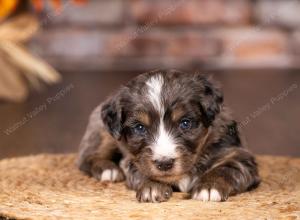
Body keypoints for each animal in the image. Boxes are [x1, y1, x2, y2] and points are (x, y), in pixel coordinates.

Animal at [77, 69, 260, 202]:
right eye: (140, 128)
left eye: (185, 123)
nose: (164, 163)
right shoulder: (133, 158)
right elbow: (141, 169)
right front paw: (152, 187)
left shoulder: (237, 153)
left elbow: (227, 167)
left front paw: (209, 187)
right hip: (102, 132)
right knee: (86, 156)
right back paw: (108, 169)